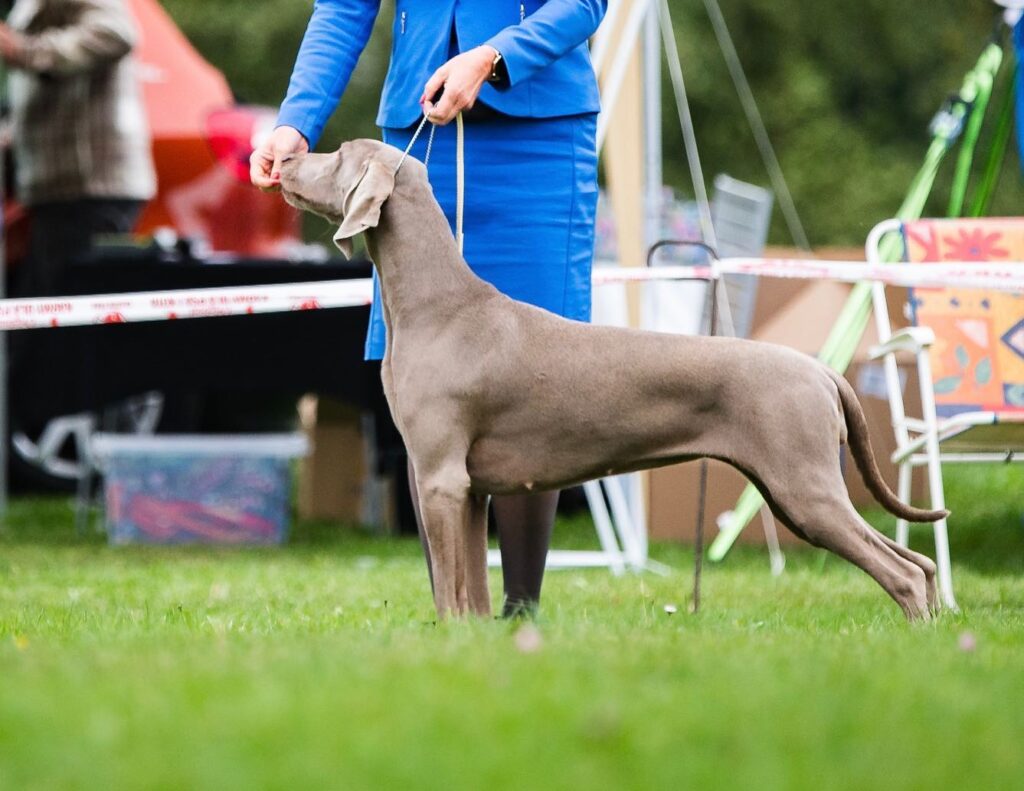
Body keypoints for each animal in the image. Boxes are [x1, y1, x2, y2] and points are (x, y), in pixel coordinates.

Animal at [278, 139, 942, 622]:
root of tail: (821, 369)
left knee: (905, 571)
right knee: (921, 562)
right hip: (792, 491)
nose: (282, 158)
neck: (437, 305)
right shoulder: (469, 489)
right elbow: (471, 592)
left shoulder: (439, 477)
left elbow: (448, 586)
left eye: (336, 154)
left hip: (804, 488)